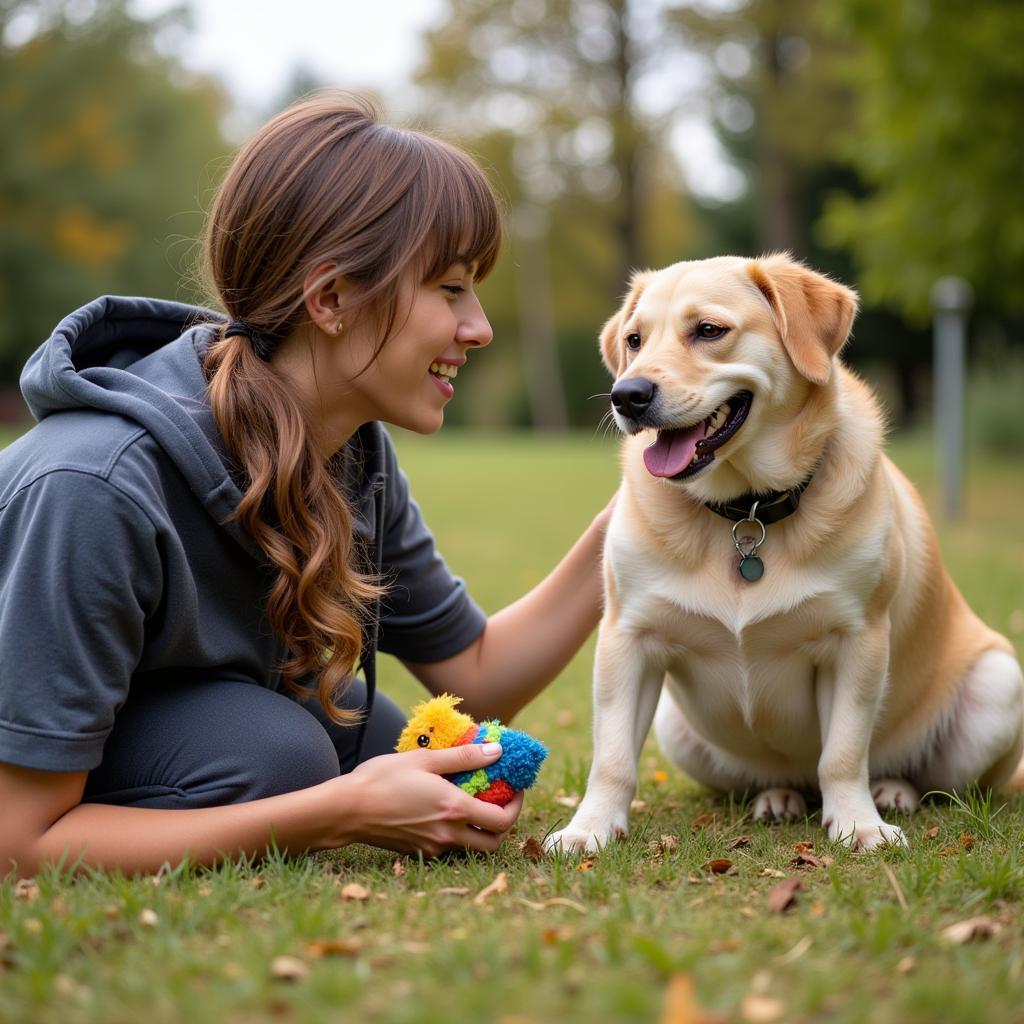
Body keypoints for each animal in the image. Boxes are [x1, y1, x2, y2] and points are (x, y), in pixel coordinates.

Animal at [548, 251, 1019, 851]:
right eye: (634, 339)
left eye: (708, 330)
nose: (627, 395)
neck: (745, 511)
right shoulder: (627, 638)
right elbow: (611, 758)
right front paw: (588, 828)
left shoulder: (857, 640)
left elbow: (843, 753)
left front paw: (859, 823)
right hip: (677, 726)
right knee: (774, 779)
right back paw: (777, 797)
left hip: (999, 684)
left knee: (921, 777)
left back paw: (892, 791)